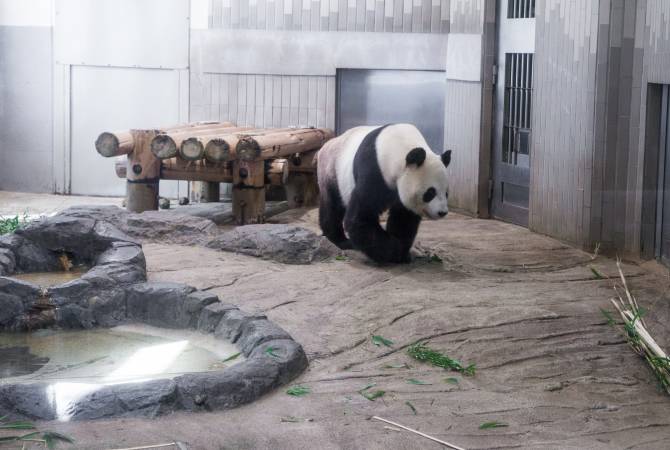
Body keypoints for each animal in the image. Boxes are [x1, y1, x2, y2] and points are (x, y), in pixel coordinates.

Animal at [318, 123, 454, 264]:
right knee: (332, 205)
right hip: (332, 170)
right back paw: (341, 241)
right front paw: (392, 252)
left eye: (446, 193)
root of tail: (327, 145)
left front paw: (402, 253)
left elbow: (404, 218)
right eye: (430, 193)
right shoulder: (374, 168)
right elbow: (361, 217)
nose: (442, 212)